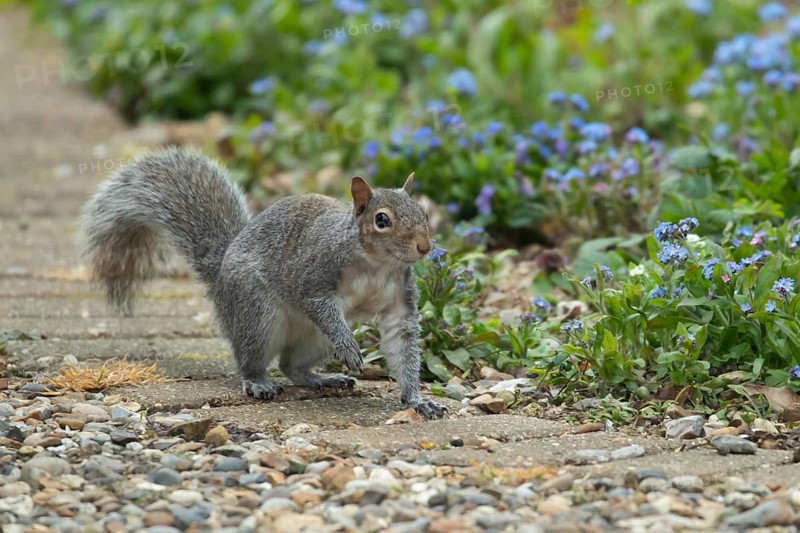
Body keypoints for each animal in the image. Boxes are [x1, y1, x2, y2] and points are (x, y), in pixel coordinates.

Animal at [80, 148, 446, 419]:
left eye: (423, 213)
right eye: (382, 220)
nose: (425, 247)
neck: (377, 265)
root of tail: (220, 280)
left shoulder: (399, 302)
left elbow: (403, 343)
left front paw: (417, 399)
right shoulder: (313, 274)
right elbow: (318, 305)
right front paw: (348, 348)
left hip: (313, 338)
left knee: (290, 365)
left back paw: (323, 378)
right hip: (257, 313)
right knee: (254, 359)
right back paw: (259, 383)